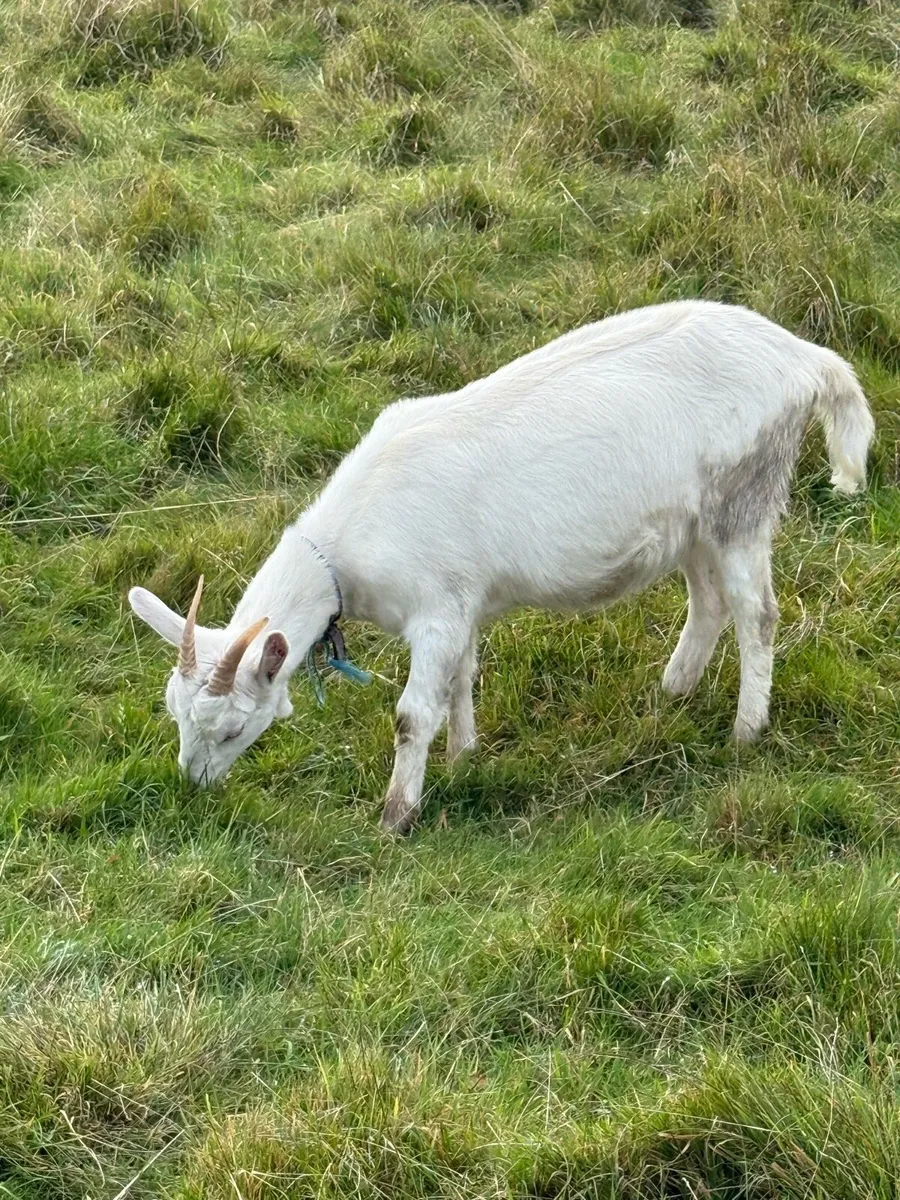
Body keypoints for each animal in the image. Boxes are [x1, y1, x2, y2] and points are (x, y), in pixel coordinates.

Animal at [129, 300, 874, 833]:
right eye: (172, 713)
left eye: (232, 728)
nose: (193, 784)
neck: (350, 544)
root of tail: (805, 358)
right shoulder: (464, 602)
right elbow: (461, 680)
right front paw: (463, 758)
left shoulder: (436, 607)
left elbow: (412, 714)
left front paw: (396, 816)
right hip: (691, 526)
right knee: (709, 602)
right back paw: (673, 692)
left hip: (742, 497)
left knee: (758, 614)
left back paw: (747, 731)